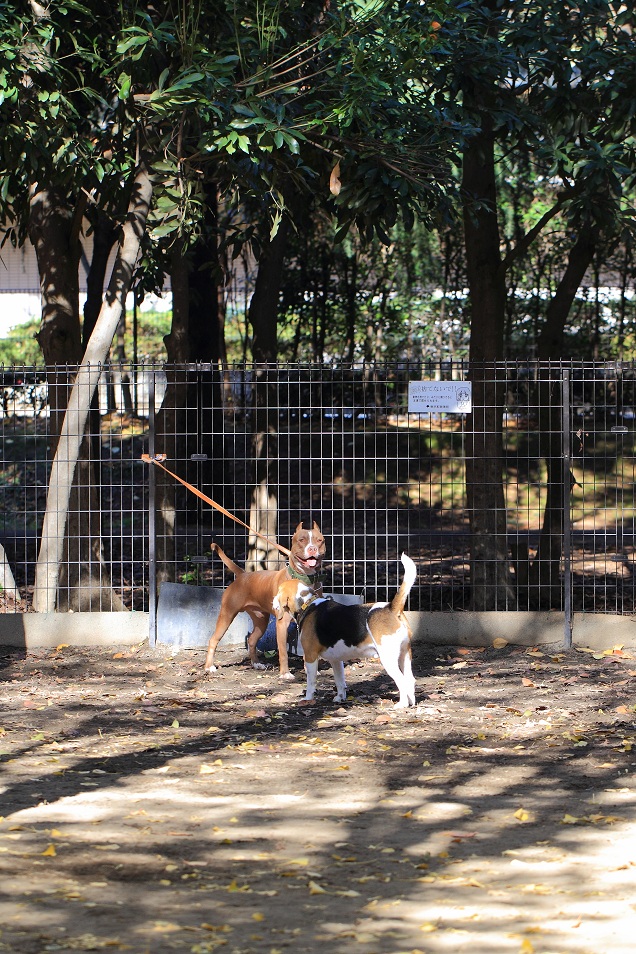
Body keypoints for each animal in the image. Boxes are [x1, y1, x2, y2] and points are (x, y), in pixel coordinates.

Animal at [203, 522, 326, 679]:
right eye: (302, 540)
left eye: (319, 540)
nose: (312, 548)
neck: (304, 579)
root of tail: (242, 575)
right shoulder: (282, 624)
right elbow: (283, 652)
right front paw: (285, 674)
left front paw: (311, 671)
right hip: (227, 614)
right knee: (214, 639)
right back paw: (209, 667)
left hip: (261, 620)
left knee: (252, 639)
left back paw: (256, 664)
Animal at [273, 552, 417, 707]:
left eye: (278, 591)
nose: (272, 601)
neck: (307, 604)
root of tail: (391, 608)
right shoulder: (336, 660)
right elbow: (340, 681)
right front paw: (340, 697)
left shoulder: (310, 656)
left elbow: (311, 682)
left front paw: (308, 698)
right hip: (404, 654)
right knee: (410, 679)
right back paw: (411, 702)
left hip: (388, 658)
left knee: (401, 680)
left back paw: (402, 704)